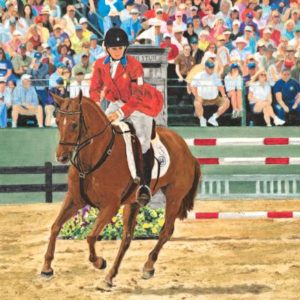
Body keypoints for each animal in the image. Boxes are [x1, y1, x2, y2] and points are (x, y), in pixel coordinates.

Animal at [41, 93, 200, 286]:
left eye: (74, 124)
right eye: (57, 121)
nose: (61, 157)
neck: (95, 157)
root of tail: (187, 150)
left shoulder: (110, 206)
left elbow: (90, 236)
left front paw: (99, 262)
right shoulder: (74, 200)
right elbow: (55, 227)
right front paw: (47, 268)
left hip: (174, 197)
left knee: (165, 232)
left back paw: (148, 266)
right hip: (133, 203)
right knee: (127, 237)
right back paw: (110, 276)